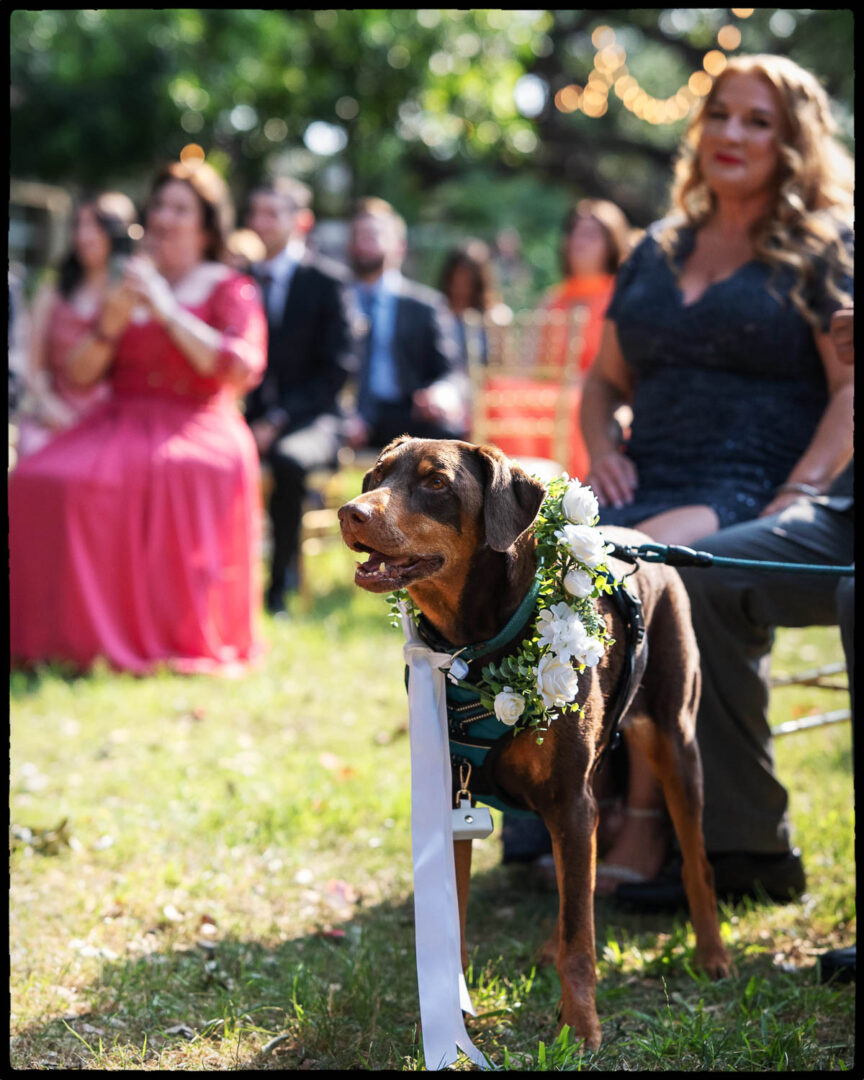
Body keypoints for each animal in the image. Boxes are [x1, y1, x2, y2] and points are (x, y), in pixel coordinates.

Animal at [336, 436, 730, 1045]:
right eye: (374, 476)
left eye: (436, 483)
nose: (349, 513)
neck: (471, 650)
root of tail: (644, 542)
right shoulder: (454, 798)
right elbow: (464, 915)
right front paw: (452, 1010)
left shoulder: (570, 799)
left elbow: (582, 940)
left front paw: (581, 1024)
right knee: (577, 882)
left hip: (675, 741)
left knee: (690, 860)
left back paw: (711, 954)